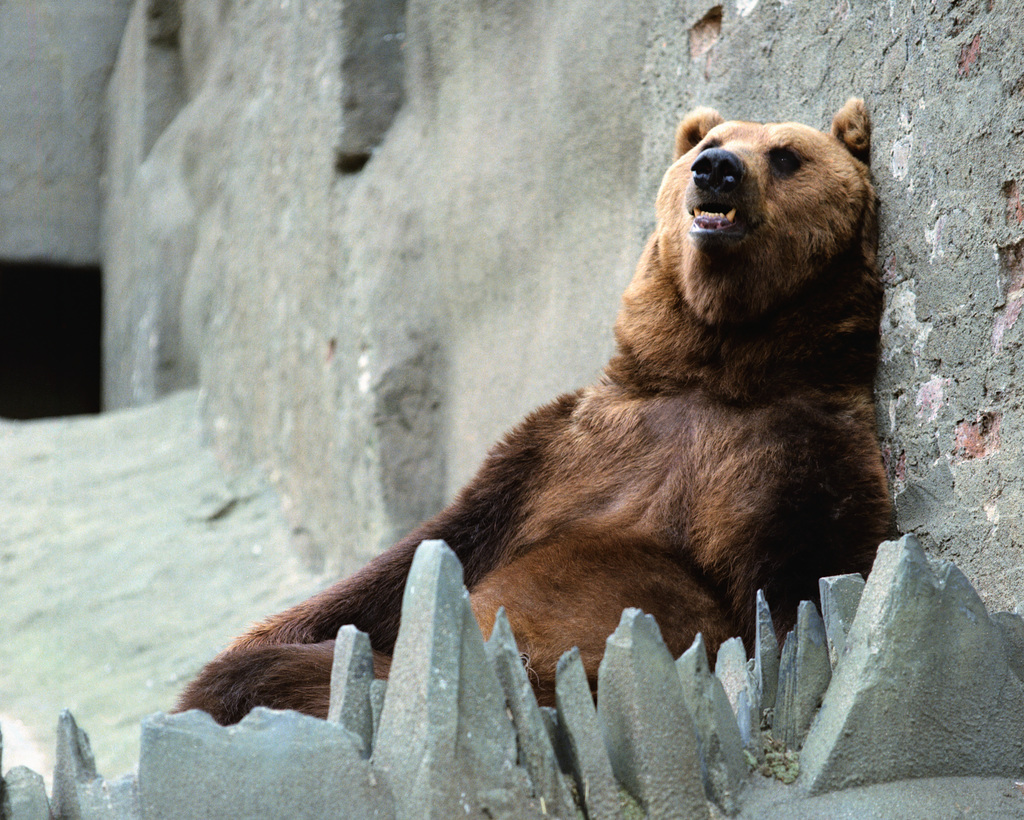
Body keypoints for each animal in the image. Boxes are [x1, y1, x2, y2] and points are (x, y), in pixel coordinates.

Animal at [180, 99, 892, 720]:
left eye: (786, 155)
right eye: (709, 143)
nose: (716, 168)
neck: (718, 367)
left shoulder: (800, 455)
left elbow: (802, 589)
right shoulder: (562, 455)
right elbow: (417, 560)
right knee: (267, 669)